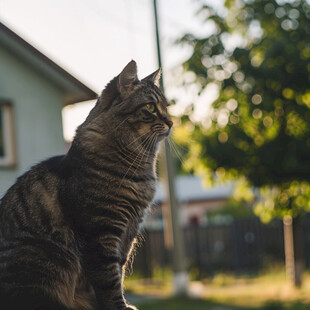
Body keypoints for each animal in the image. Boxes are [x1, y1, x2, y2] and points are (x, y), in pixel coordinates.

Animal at [0, 61, 173, 310]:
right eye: (150, 107)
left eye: (166, 107)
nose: (171, 122)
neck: (139, 166)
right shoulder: (101, 231)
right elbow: (109, 280)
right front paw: (118, 307)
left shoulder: (128, 233)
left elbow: (118, 274)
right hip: (43, 255)